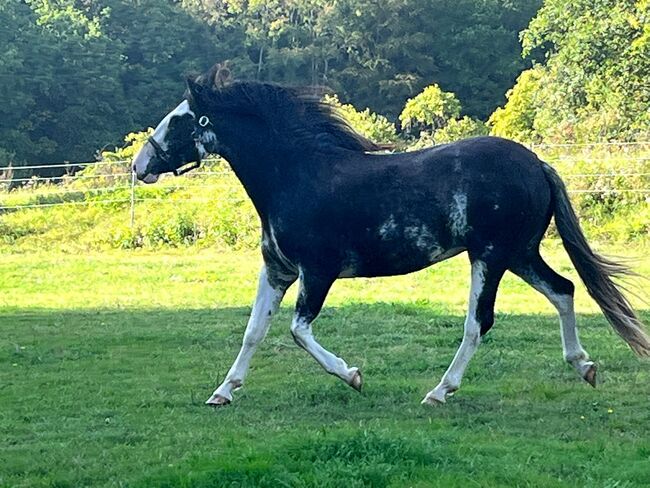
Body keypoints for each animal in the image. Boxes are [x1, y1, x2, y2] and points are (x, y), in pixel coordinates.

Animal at [132, 65, 648, 406]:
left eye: (180, 119)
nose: (140, 165)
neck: (298, 176)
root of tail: (537, 163)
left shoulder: (317, 272)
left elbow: (298, 331)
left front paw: (353, 376)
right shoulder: (277, 271)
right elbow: (253, 331)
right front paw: (223, 391)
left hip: (490, 256)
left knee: (479, 322)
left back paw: (440, 391)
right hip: (518, 254)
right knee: (564, 290)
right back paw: (584, 366)